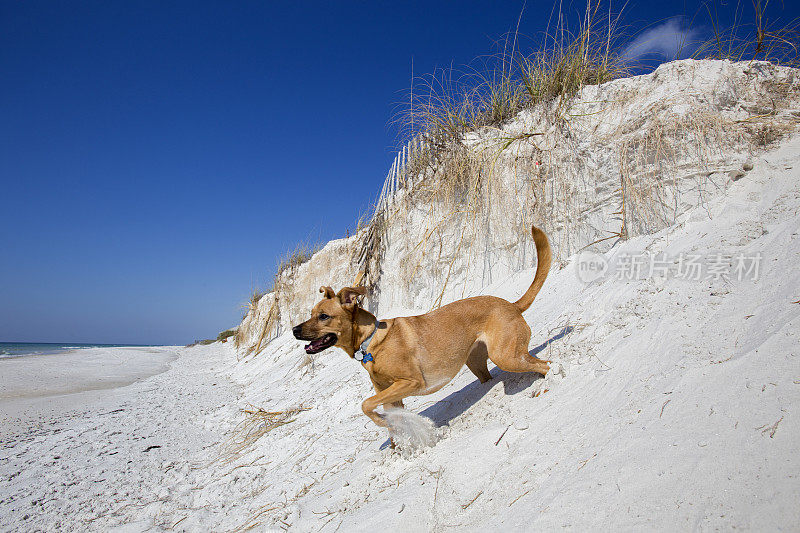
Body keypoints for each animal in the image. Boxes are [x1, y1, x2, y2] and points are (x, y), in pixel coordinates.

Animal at [290, 224, 552, 428]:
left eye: (323, 316)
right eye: (311, 314)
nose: (294, 330)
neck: (371, 341)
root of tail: (512, 305)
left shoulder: (411, 382)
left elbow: (366, 405)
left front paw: (384, 422)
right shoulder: (389, 395)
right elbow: (378, 410)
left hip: (506, 356)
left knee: (545, 365)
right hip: (477, 362)